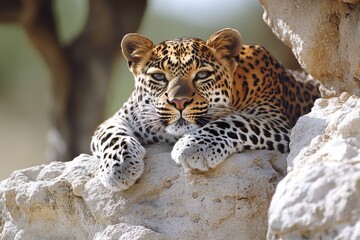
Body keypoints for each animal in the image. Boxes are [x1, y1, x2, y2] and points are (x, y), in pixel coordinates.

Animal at [90, 28, 320, 191]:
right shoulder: (121, 117)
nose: (179, 102)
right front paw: (119, 166)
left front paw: (194, 146)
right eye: (159, 77)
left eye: (201, 75)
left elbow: (235, 121)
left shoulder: (284, 127)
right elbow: (110, 135)